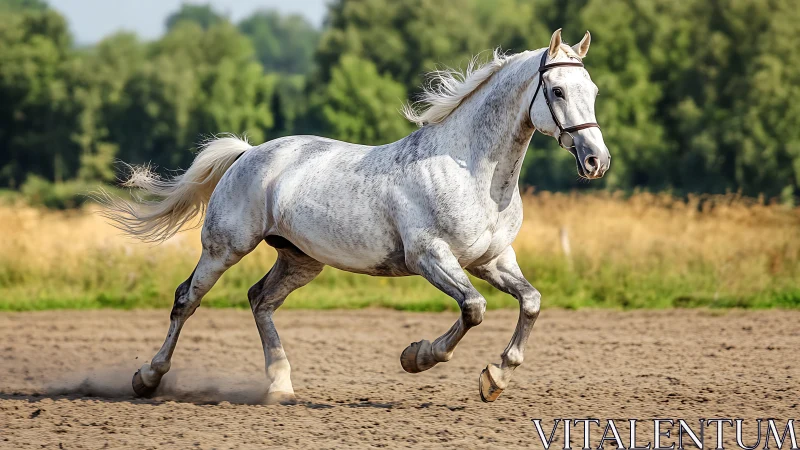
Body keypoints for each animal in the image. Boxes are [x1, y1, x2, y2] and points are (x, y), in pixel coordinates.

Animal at [101, 28, 610, 404]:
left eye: (593, 91)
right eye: (558, 90)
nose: (596, 161)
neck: (472, 171)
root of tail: (248, 153)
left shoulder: (492, 260)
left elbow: (531, 302)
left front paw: (496, 378)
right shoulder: (431, 257)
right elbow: (473, 308)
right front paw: (416, 357)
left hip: (300, 259)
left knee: (260, 300)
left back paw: (280, 387)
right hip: (224, 247)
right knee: (187, 299)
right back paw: (147, 378)